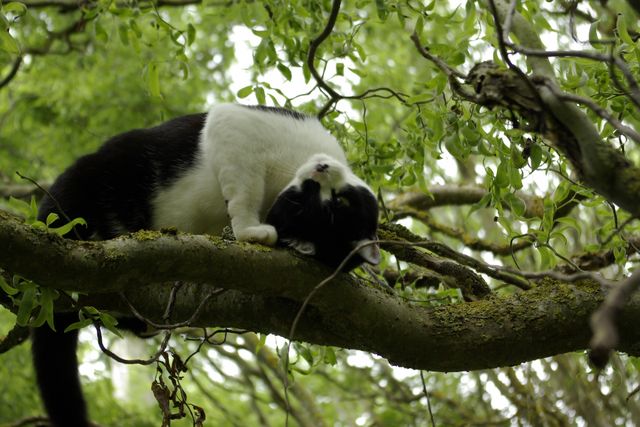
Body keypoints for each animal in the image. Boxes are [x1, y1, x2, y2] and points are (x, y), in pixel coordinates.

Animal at [31, 104, 380, 427]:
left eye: (310, 205)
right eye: (338, 200)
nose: (319, 169)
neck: (286, 174)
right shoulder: (234, 127)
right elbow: (245, 187)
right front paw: (251, 229)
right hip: (80, 187)